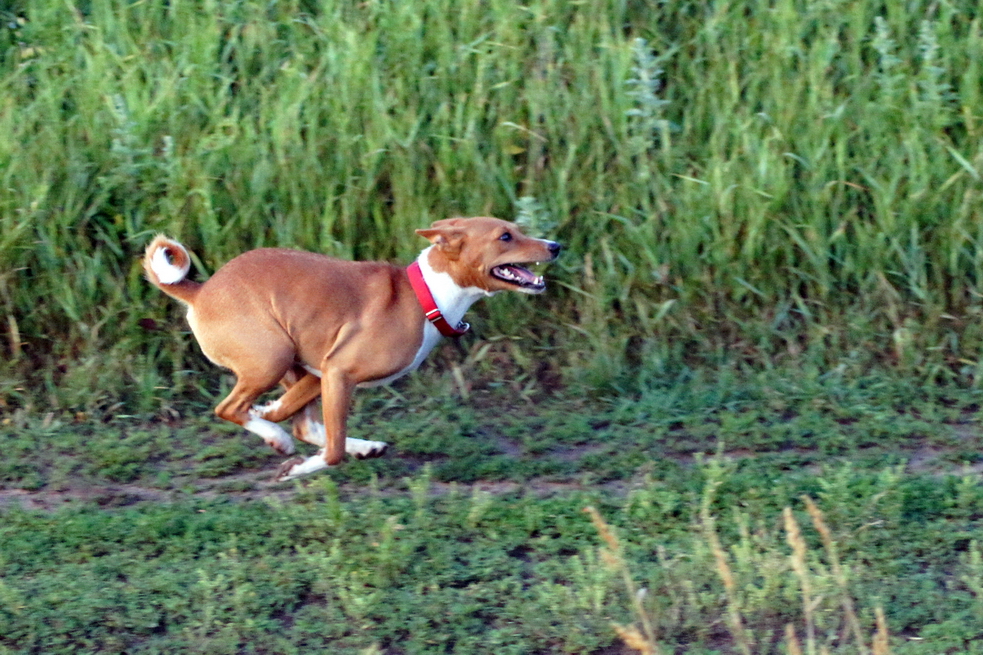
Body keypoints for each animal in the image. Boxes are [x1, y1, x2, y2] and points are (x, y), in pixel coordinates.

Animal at [144, 217, 560, 481]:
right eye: (505, 237)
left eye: (518, 230)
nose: (556, 245)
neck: (426, 295)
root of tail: (199, 291)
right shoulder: (338, 371)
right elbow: (332, 452)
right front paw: (297, 466)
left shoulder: (324, 371)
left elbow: (308, 424)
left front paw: (274, 418)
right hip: (272, 359)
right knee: (231, 410)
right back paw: (278, 438)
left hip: (292, 360)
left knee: (300, 423)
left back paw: (353, 444)